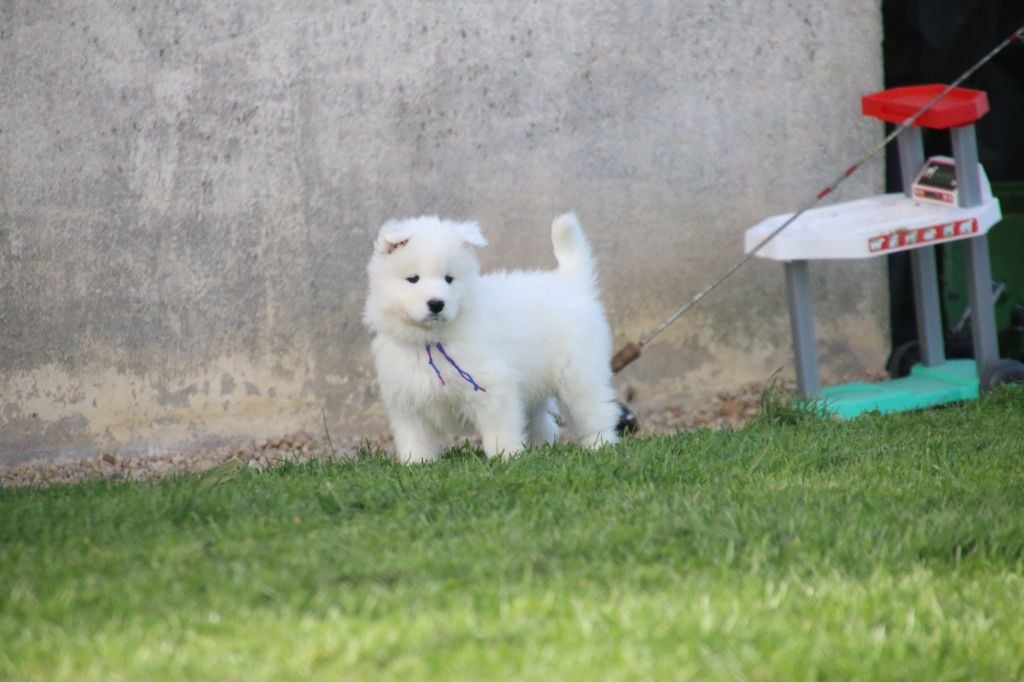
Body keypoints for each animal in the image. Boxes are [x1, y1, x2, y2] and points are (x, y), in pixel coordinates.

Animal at [364, 209, 618, 458]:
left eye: (449, 279)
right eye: (413, 279)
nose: (436, 304)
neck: (433, 339)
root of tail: (570, 281)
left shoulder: (494, 388)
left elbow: (499, 430)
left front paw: (505, 458)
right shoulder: (408, 402)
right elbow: (415, 441)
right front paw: (417, 464)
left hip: (579, 373)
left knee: (595, 412)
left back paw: (600, 445)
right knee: (543, 423)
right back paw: (541, 449)